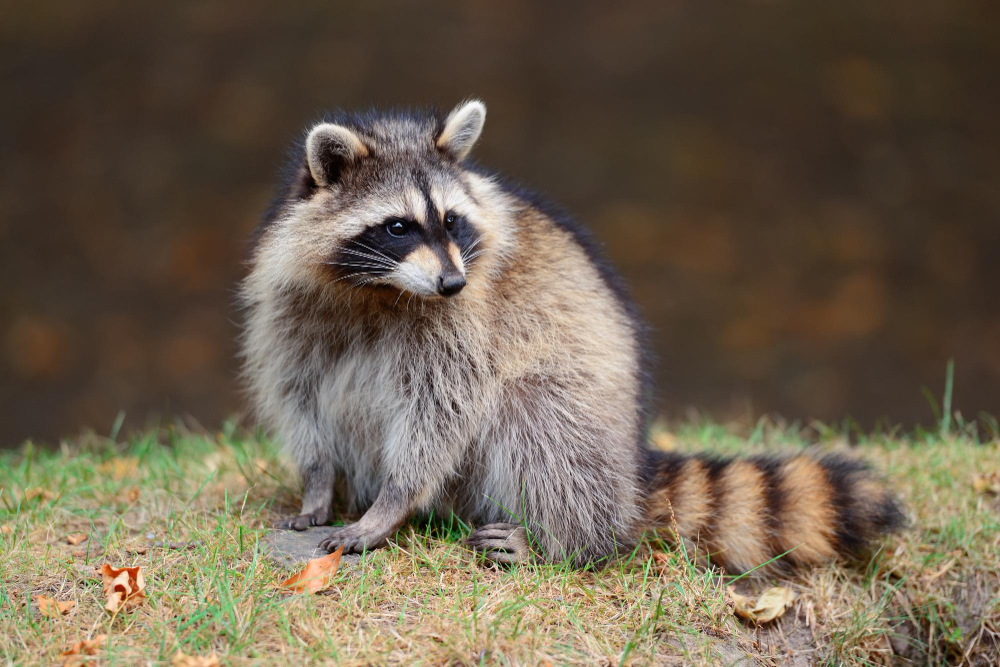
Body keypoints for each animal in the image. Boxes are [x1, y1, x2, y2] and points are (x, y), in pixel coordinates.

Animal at [241, 100, 903, 571]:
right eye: (398, 226)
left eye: (451, 220)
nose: (453, 281)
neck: (379, 289)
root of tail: (633, 464)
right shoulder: (291, 306)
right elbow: (298, 392)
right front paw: (317, 482)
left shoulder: (464, 323)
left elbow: (442, 411)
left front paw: (392, 503)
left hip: (584, 416)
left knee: (538, 421)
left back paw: (562, 540)